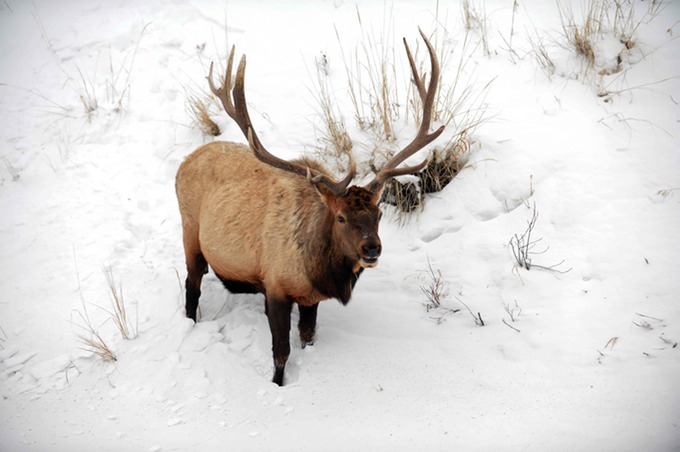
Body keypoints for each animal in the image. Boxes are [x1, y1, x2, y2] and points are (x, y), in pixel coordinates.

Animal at [173, 28, 444, 384]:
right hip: (189, 229)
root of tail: (184, 162)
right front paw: (278, 384)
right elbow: (281, 353)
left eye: (379, 213)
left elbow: (308, 337)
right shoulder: (275, 287)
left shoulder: (310, 298)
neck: (317, 270)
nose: (371, 249)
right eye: (340, 217)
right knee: (192, 287)